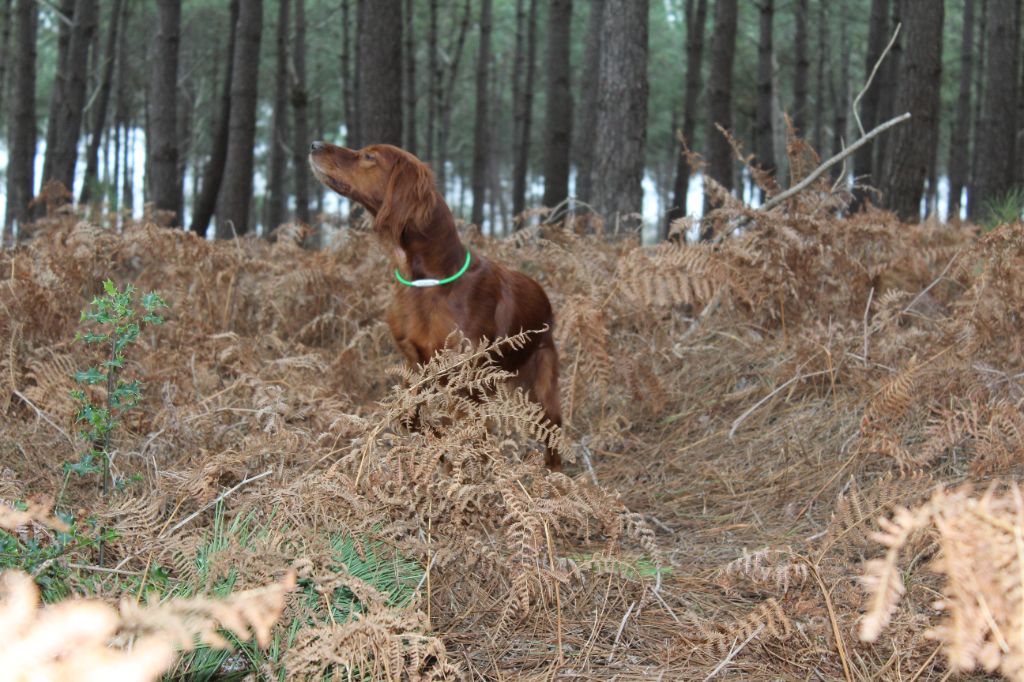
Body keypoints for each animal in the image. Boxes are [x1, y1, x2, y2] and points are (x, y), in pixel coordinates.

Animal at [307, 139, 565, 466]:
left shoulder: (466, 381)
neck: (427, 282)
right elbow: (411, 419)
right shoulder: (415, 365)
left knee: (552, 437)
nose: (314, 144)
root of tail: (542, 293)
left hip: (542, 387)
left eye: (369, 156)